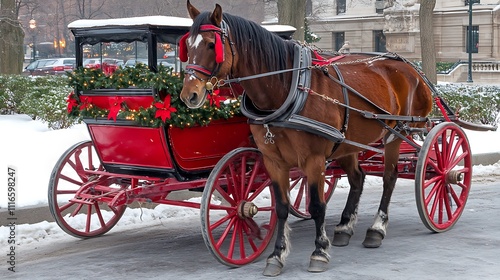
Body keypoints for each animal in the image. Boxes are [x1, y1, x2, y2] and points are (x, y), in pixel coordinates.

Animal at [180, 0, 434, 276]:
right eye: (187, 45)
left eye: (211, 45)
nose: (189, 95)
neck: (286, 89)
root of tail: (408, 66)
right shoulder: (273, 161)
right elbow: (281, 207)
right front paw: (276, 255)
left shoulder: (314, 159)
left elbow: (317, 206)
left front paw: (319, 251)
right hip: (347, 142)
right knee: (358, 177)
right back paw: (345, 227)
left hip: (395, 134)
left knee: (389, 177)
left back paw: (377, 229)